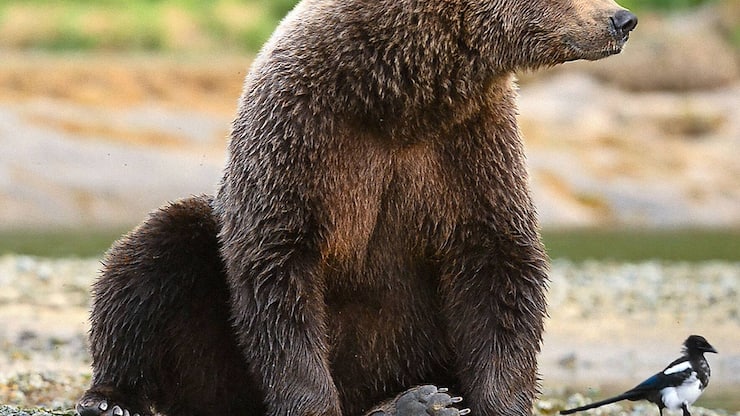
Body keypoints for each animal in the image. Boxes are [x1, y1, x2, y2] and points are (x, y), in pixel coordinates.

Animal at [76, 1, 637, 416]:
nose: (623, 19)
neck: (402, 91)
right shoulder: (302, 131)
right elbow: (278, 266)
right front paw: (313, 402)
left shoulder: (471, 145)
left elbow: (498, 263)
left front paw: (497, 401)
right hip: (215, 353)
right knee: (156, 254)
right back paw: (113, 399)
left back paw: (418, 400)